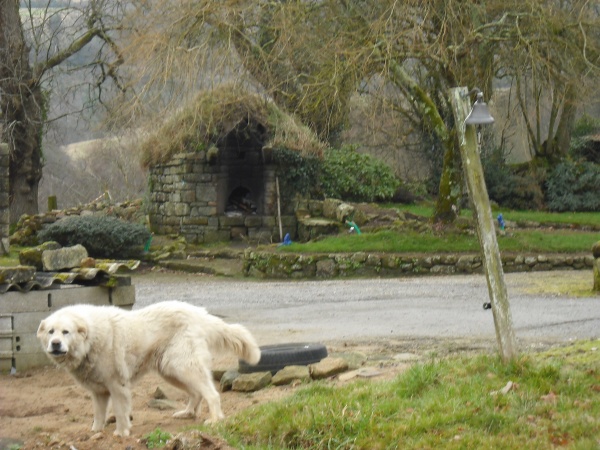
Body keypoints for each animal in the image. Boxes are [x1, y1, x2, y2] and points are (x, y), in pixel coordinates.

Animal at [37, 300, 260, 438]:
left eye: (66, 332)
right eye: (51, 332)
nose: (55, 344)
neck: (91, 338)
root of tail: (200, 314)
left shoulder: (117, 386)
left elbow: (120, 412)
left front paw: (121, 433)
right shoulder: (99, 392)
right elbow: (99, 415)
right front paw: (96, 432)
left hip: (182, 365)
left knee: (211, 394)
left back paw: (215, 420)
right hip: (170, 370)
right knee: (197, 394)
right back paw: (187, 413)